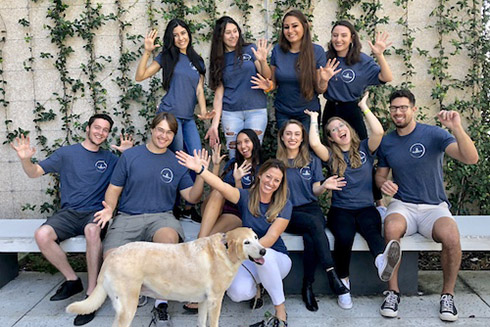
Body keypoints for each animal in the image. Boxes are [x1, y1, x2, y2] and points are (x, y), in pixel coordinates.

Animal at [67, 228, 266, 327]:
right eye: (246, 242)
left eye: (256, 237)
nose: (264, 250)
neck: (225, 250)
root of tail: (110, 256)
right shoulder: (215, 301)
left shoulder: (203, 301)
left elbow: (201, 322)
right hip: (127, 308)